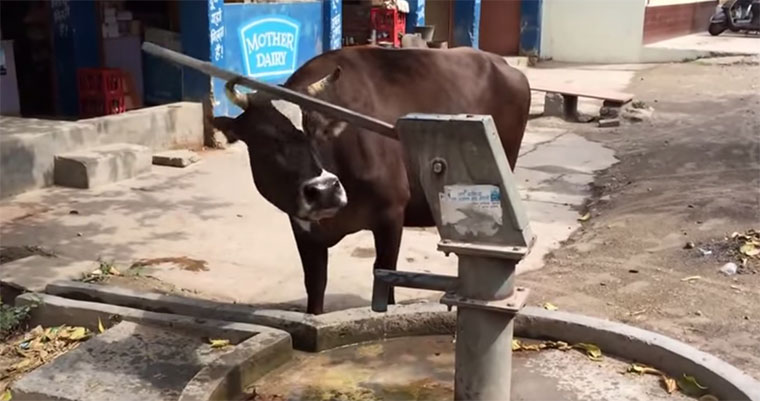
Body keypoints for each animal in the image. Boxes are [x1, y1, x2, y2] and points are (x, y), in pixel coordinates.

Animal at [213, 46, 531, 315]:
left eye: (317, 131)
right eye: (264, 139)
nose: (324, 191)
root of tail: (501, 62)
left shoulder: (391, 214)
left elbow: (385, 278)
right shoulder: (302, 226)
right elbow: (315, 286)